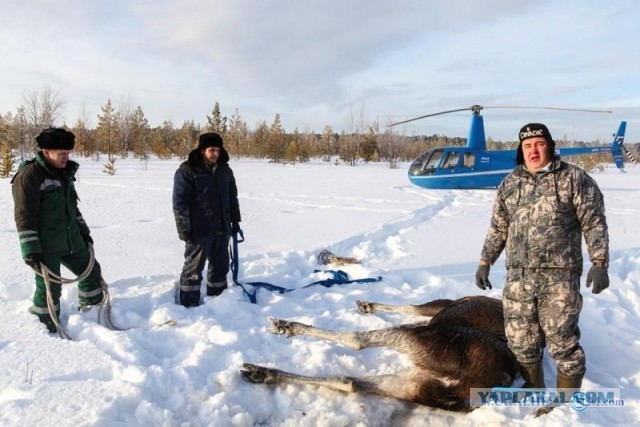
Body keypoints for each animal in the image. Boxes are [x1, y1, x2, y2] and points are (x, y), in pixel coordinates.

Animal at [241, 296, 520, 412]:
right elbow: (410, 307)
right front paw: (367, 305)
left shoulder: (439, 310)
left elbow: (411, 307)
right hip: (415, 385)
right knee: (348, 382)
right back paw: (261, 373)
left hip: (422, 340)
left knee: (356, 340)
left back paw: (287, 327)